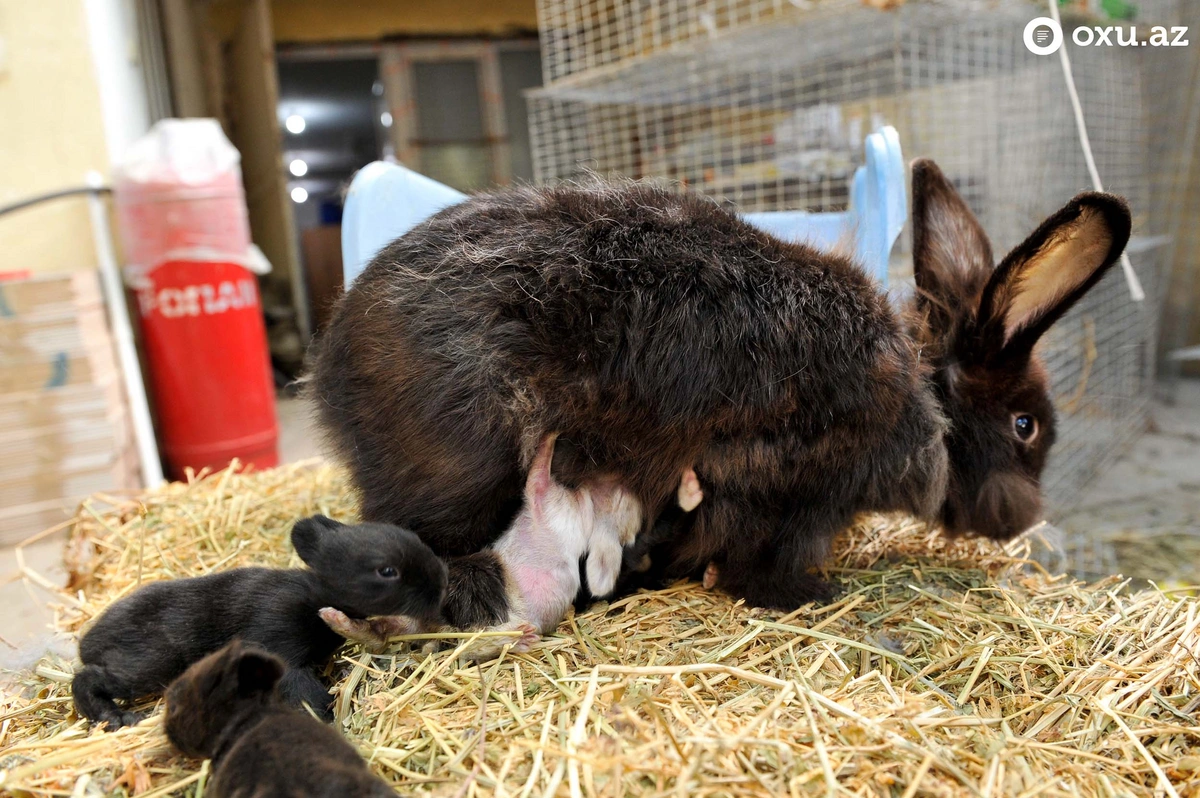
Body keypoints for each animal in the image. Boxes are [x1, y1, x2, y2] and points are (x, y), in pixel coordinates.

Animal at [70, 516, 446, 729]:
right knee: (87, 678)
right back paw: (112, 717)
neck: (315, 596)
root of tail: (88, 642)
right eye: (387, 571)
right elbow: (304, 690)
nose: (442, 582)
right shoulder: (276, 644)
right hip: (148, 665)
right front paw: (328, 713)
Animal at [307, 162, 1123, 633]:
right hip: (465, 469)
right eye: (1025, 425)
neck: (922, 392)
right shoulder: (787, 499)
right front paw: (813, 596)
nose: (1024, 519)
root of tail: (332, 363)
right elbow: (757, 570)